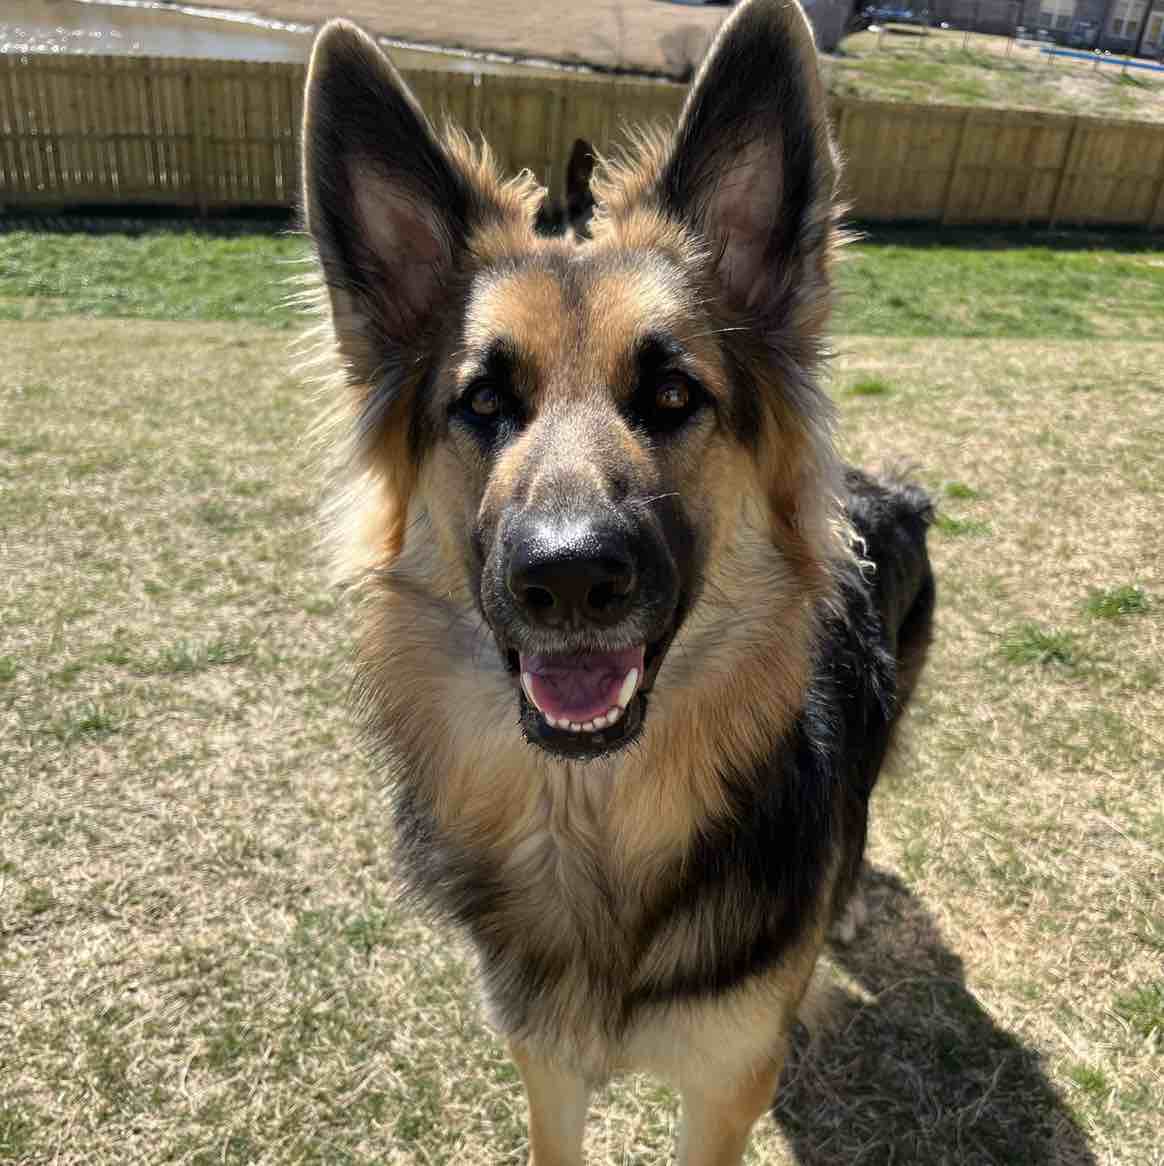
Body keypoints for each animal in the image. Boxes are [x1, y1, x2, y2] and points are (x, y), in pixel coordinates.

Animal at [300, 1, 934, 1161]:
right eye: (483, 400)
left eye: (674, 393)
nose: (569, 578)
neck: (591, 824)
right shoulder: (546, 1064)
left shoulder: (727, 1082)